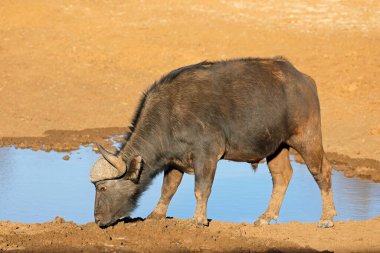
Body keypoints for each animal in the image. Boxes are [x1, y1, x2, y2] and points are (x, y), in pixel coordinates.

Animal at [89, 56, 336, 228]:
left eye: (102, 187)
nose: (98, 219)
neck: (170, 113)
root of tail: (304, 80)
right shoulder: (175, 161)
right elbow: (168, 189)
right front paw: (156, 215)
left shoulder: (206, 155)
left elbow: (202, 189)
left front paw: (199, 220)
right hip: (277, 147)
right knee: (282, 176)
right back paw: (265, 218)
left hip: (306, 137)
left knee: (322, 170)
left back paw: (326, 219)